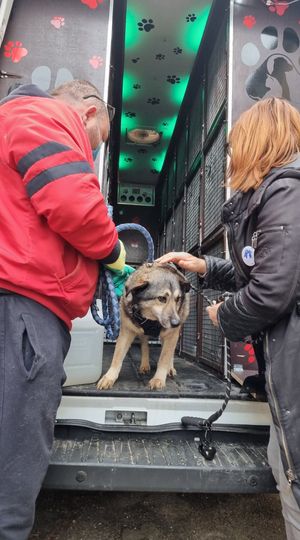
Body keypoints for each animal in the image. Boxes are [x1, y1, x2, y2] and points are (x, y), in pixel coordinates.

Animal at [96, 260, 190, 388]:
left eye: (178, 299)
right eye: (161, 298)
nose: (176, 323)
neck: (151, 319)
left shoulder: (171, 335)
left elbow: (164, 357)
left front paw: (158, 379)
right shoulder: (126, 332)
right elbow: (117, 356)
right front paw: (109, 377)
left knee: (169, 351)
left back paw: (170, 368)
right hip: (143, 334)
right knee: (145, 345)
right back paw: (145, 364)